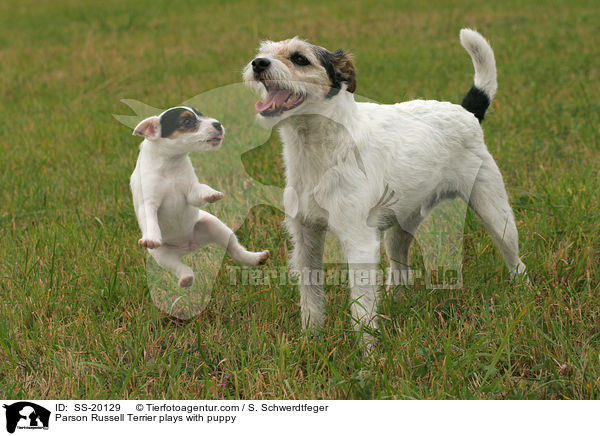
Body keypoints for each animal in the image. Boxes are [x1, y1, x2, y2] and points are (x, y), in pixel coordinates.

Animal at [134, 107, 272, 288]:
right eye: (187, 122)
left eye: (201, 114)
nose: (217, 124)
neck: (170, 165)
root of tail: (188, 247)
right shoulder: (148, 203)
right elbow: (150, 220)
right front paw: (150, 237)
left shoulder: (191, 192)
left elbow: (200, 190)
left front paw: (211, 194)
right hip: (162, 254)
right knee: (178, 266)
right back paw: (186, 278)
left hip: (217, 227)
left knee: (235, 250)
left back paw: (256, 258)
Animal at [241, 29, 528, 334]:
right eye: (265, 52)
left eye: (300, 59)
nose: (258, 63)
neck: (320, 150)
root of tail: (466, 112)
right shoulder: (306, 236)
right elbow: (311, 296)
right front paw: (311, 335)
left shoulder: (360, 242)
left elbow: (362, 306)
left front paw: (366, 345)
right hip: (401, 227)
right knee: (400, 268)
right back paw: (397, 299)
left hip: (497, 215)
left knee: (516, 261)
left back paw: (524, 293)